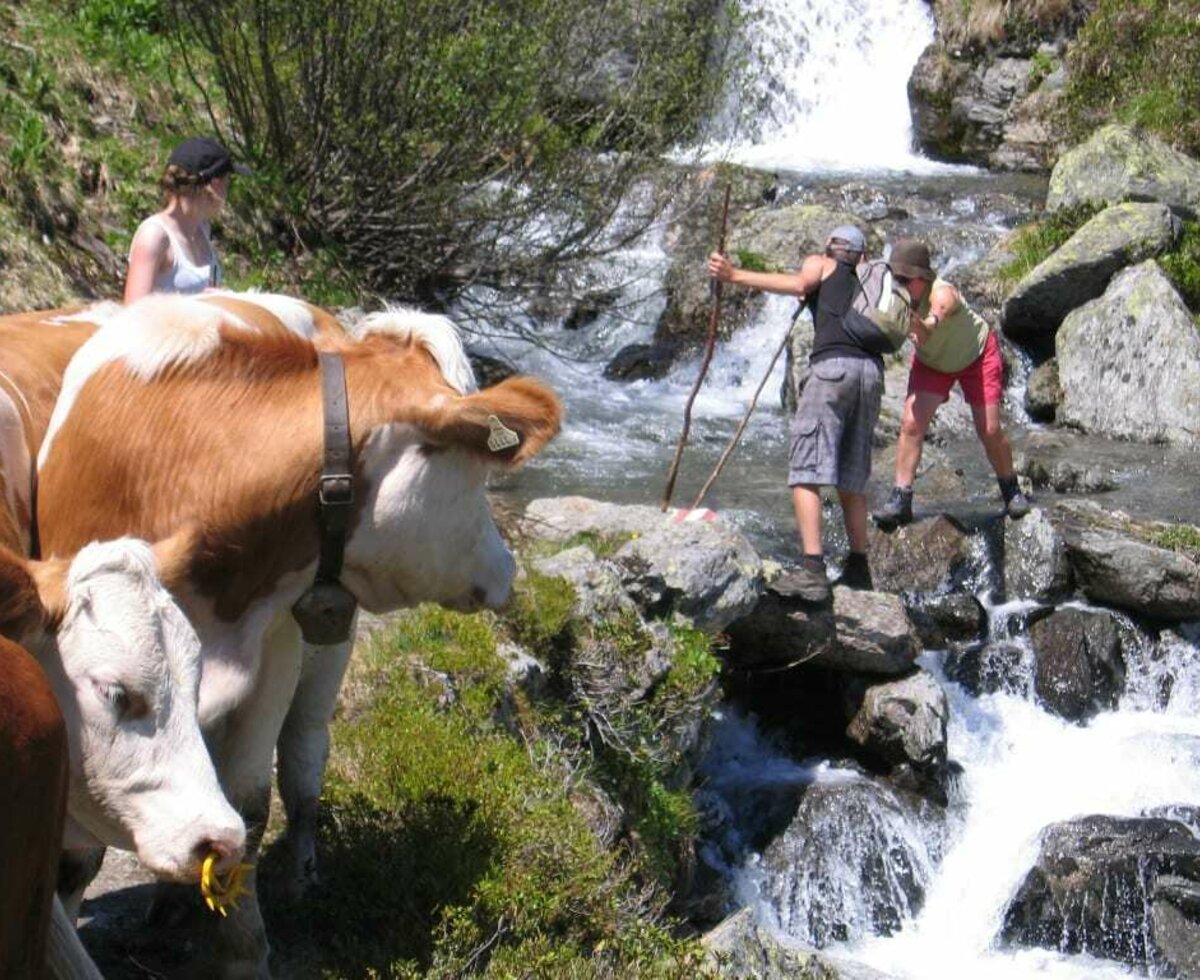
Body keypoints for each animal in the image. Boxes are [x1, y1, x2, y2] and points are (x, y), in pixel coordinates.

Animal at [35, 289, 561, 969]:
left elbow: (251, 807)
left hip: (328, 642)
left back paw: (299, 874)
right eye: (475, 477)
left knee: (306, 755)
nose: (507, 568)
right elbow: (77, 855)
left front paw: (245, 951)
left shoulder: (278, 647)